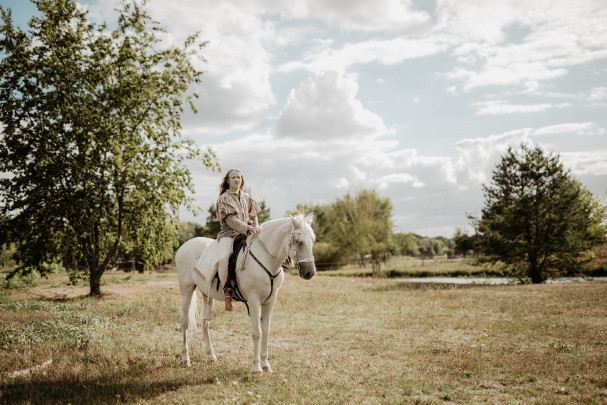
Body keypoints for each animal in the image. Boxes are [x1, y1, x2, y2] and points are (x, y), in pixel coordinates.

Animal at [176, 213, 316, 374]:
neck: (265, 259)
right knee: (185, 323)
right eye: (299, 242)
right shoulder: (254, 301)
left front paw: (266, 365)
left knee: (205, 323)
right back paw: (185, 359)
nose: (310, 272)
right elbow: (257, 333)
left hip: (207, 295)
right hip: (186, 291)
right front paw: (257, 367)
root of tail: (184, 246)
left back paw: (211, 356)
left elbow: (266, 332)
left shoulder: (270, 301)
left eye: (313, 240)